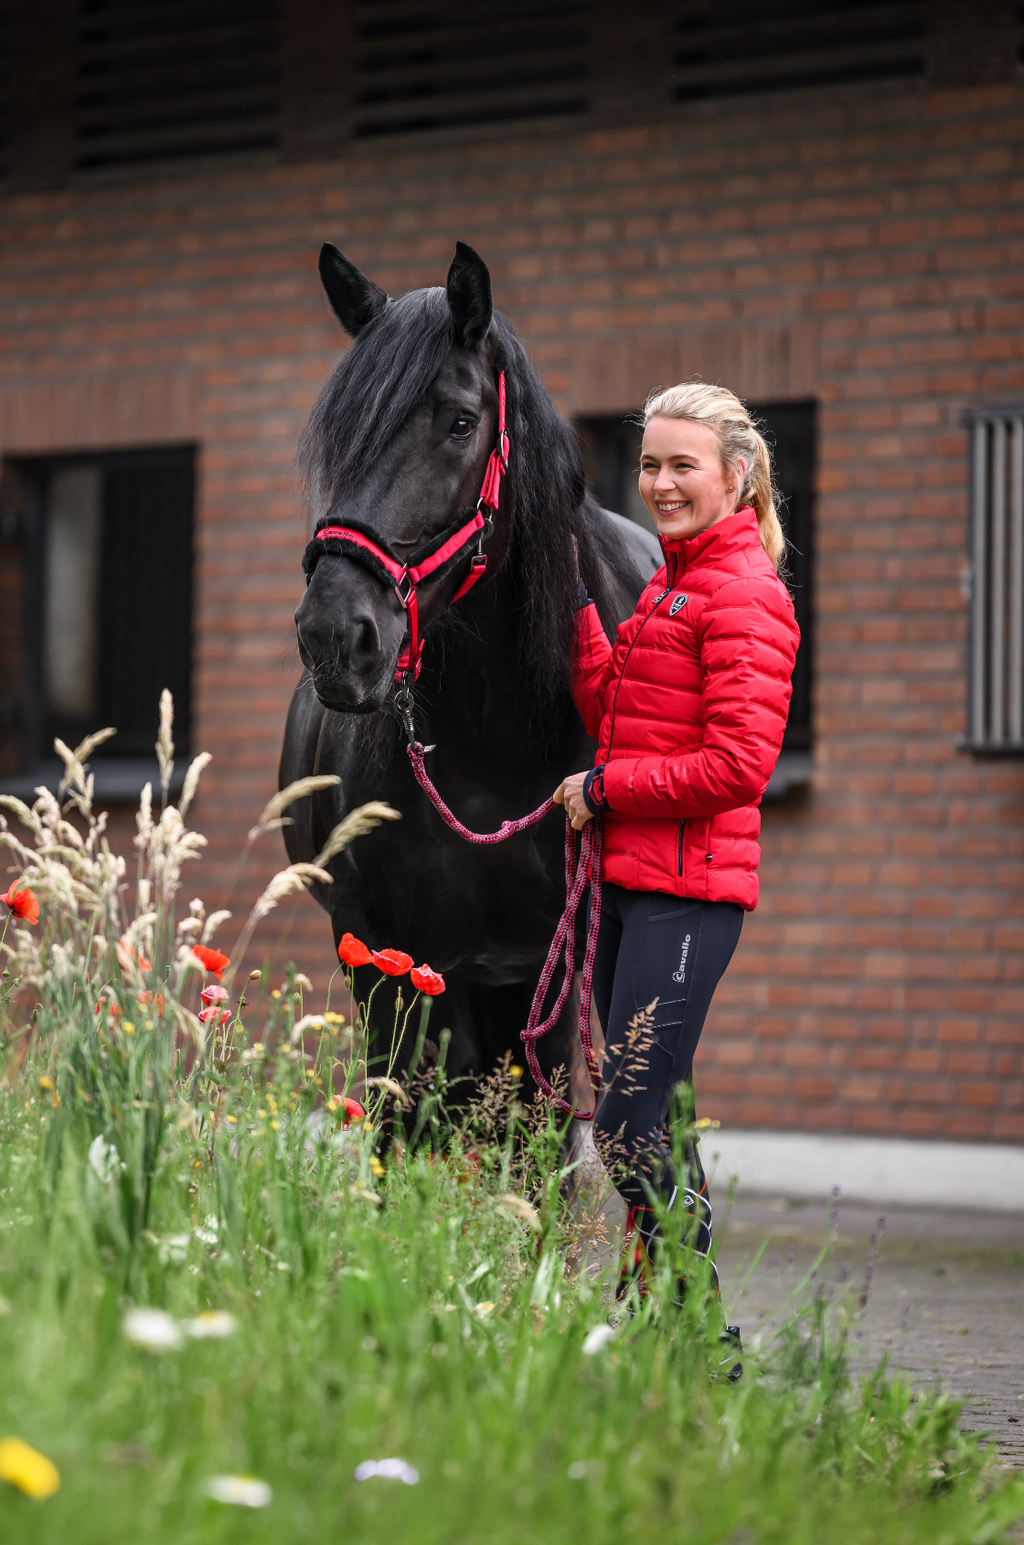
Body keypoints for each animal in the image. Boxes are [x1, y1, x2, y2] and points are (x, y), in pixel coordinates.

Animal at [280, 240, 659, 1103]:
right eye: (337, 434)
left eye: (459, 422)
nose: (333, 634)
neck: (498, 738)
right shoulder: (386, 958)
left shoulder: (566, 962)